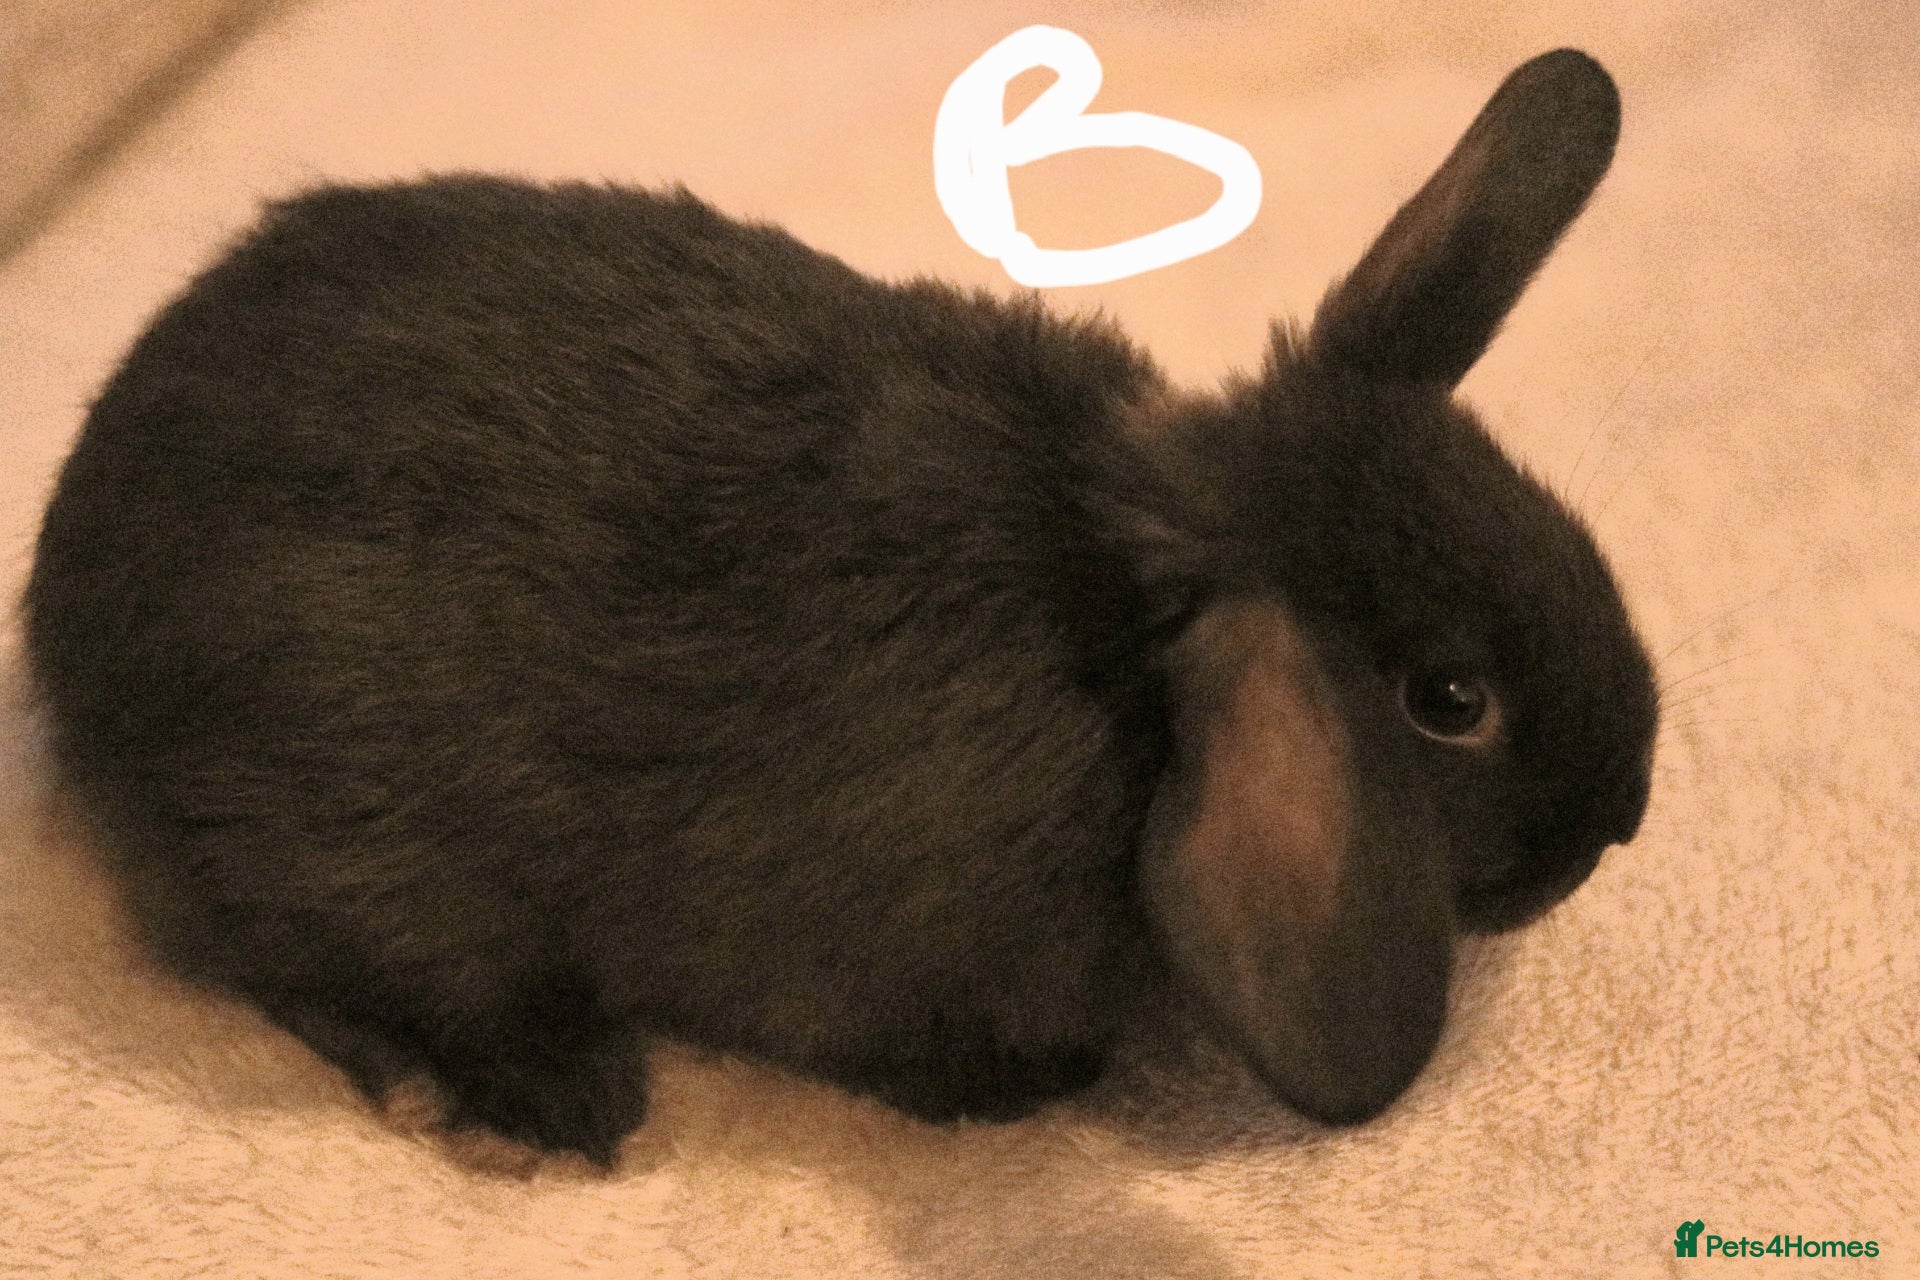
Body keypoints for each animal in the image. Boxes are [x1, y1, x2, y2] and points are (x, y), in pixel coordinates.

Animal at [22, 48, 1656, 1169]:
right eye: (1452, 701)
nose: (1616, 826)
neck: (1129, 639)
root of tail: (61, 601)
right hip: (345, 848)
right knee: (275, 956)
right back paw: (535, 1093)